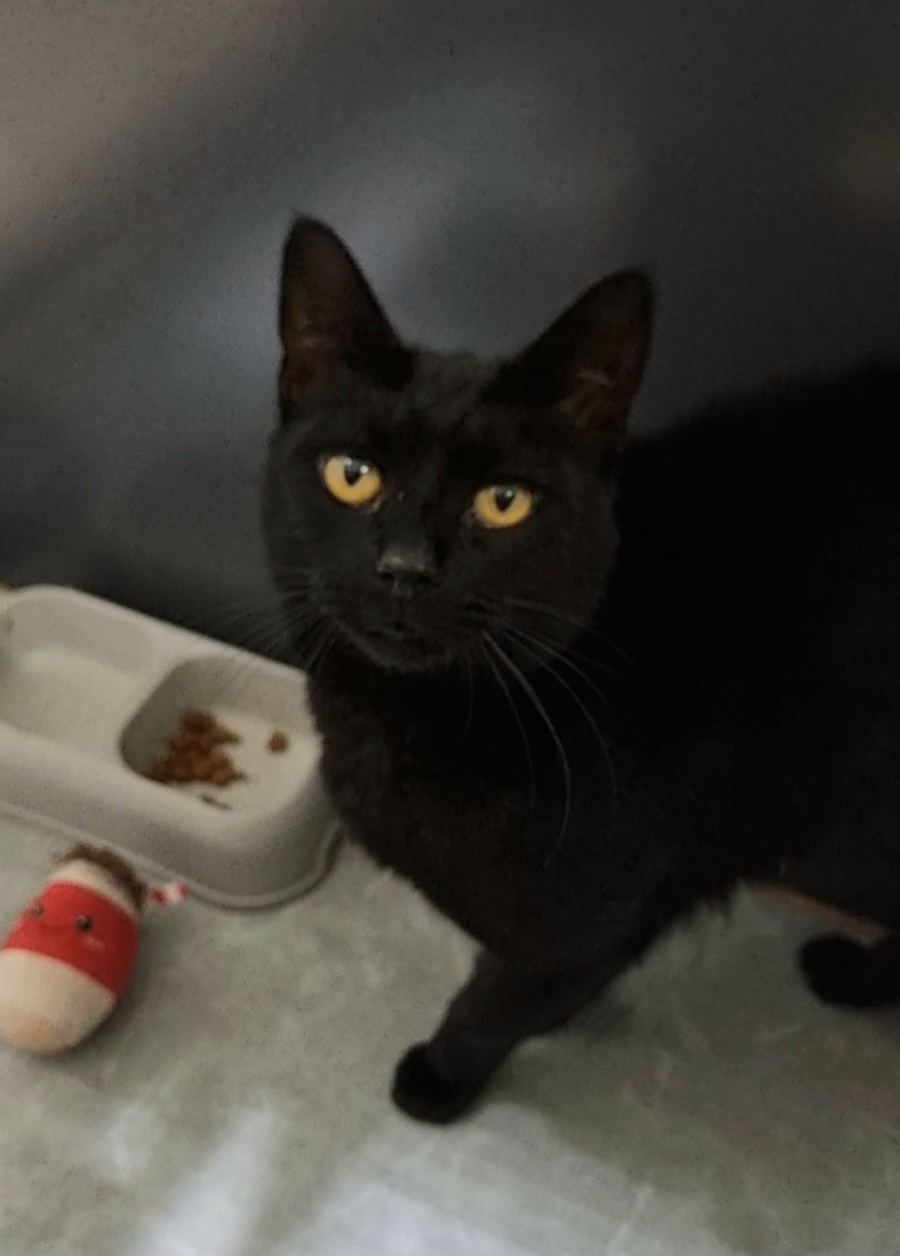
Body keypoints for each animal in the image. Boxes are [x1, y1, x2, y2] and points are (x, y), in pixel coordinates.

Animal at [262, 218, 900, 1124]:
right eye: (352, 475)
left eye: (503, 502)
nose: (405, 568)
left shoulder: (586, 926)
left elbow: (493, 1003)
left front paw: (438, 1078)